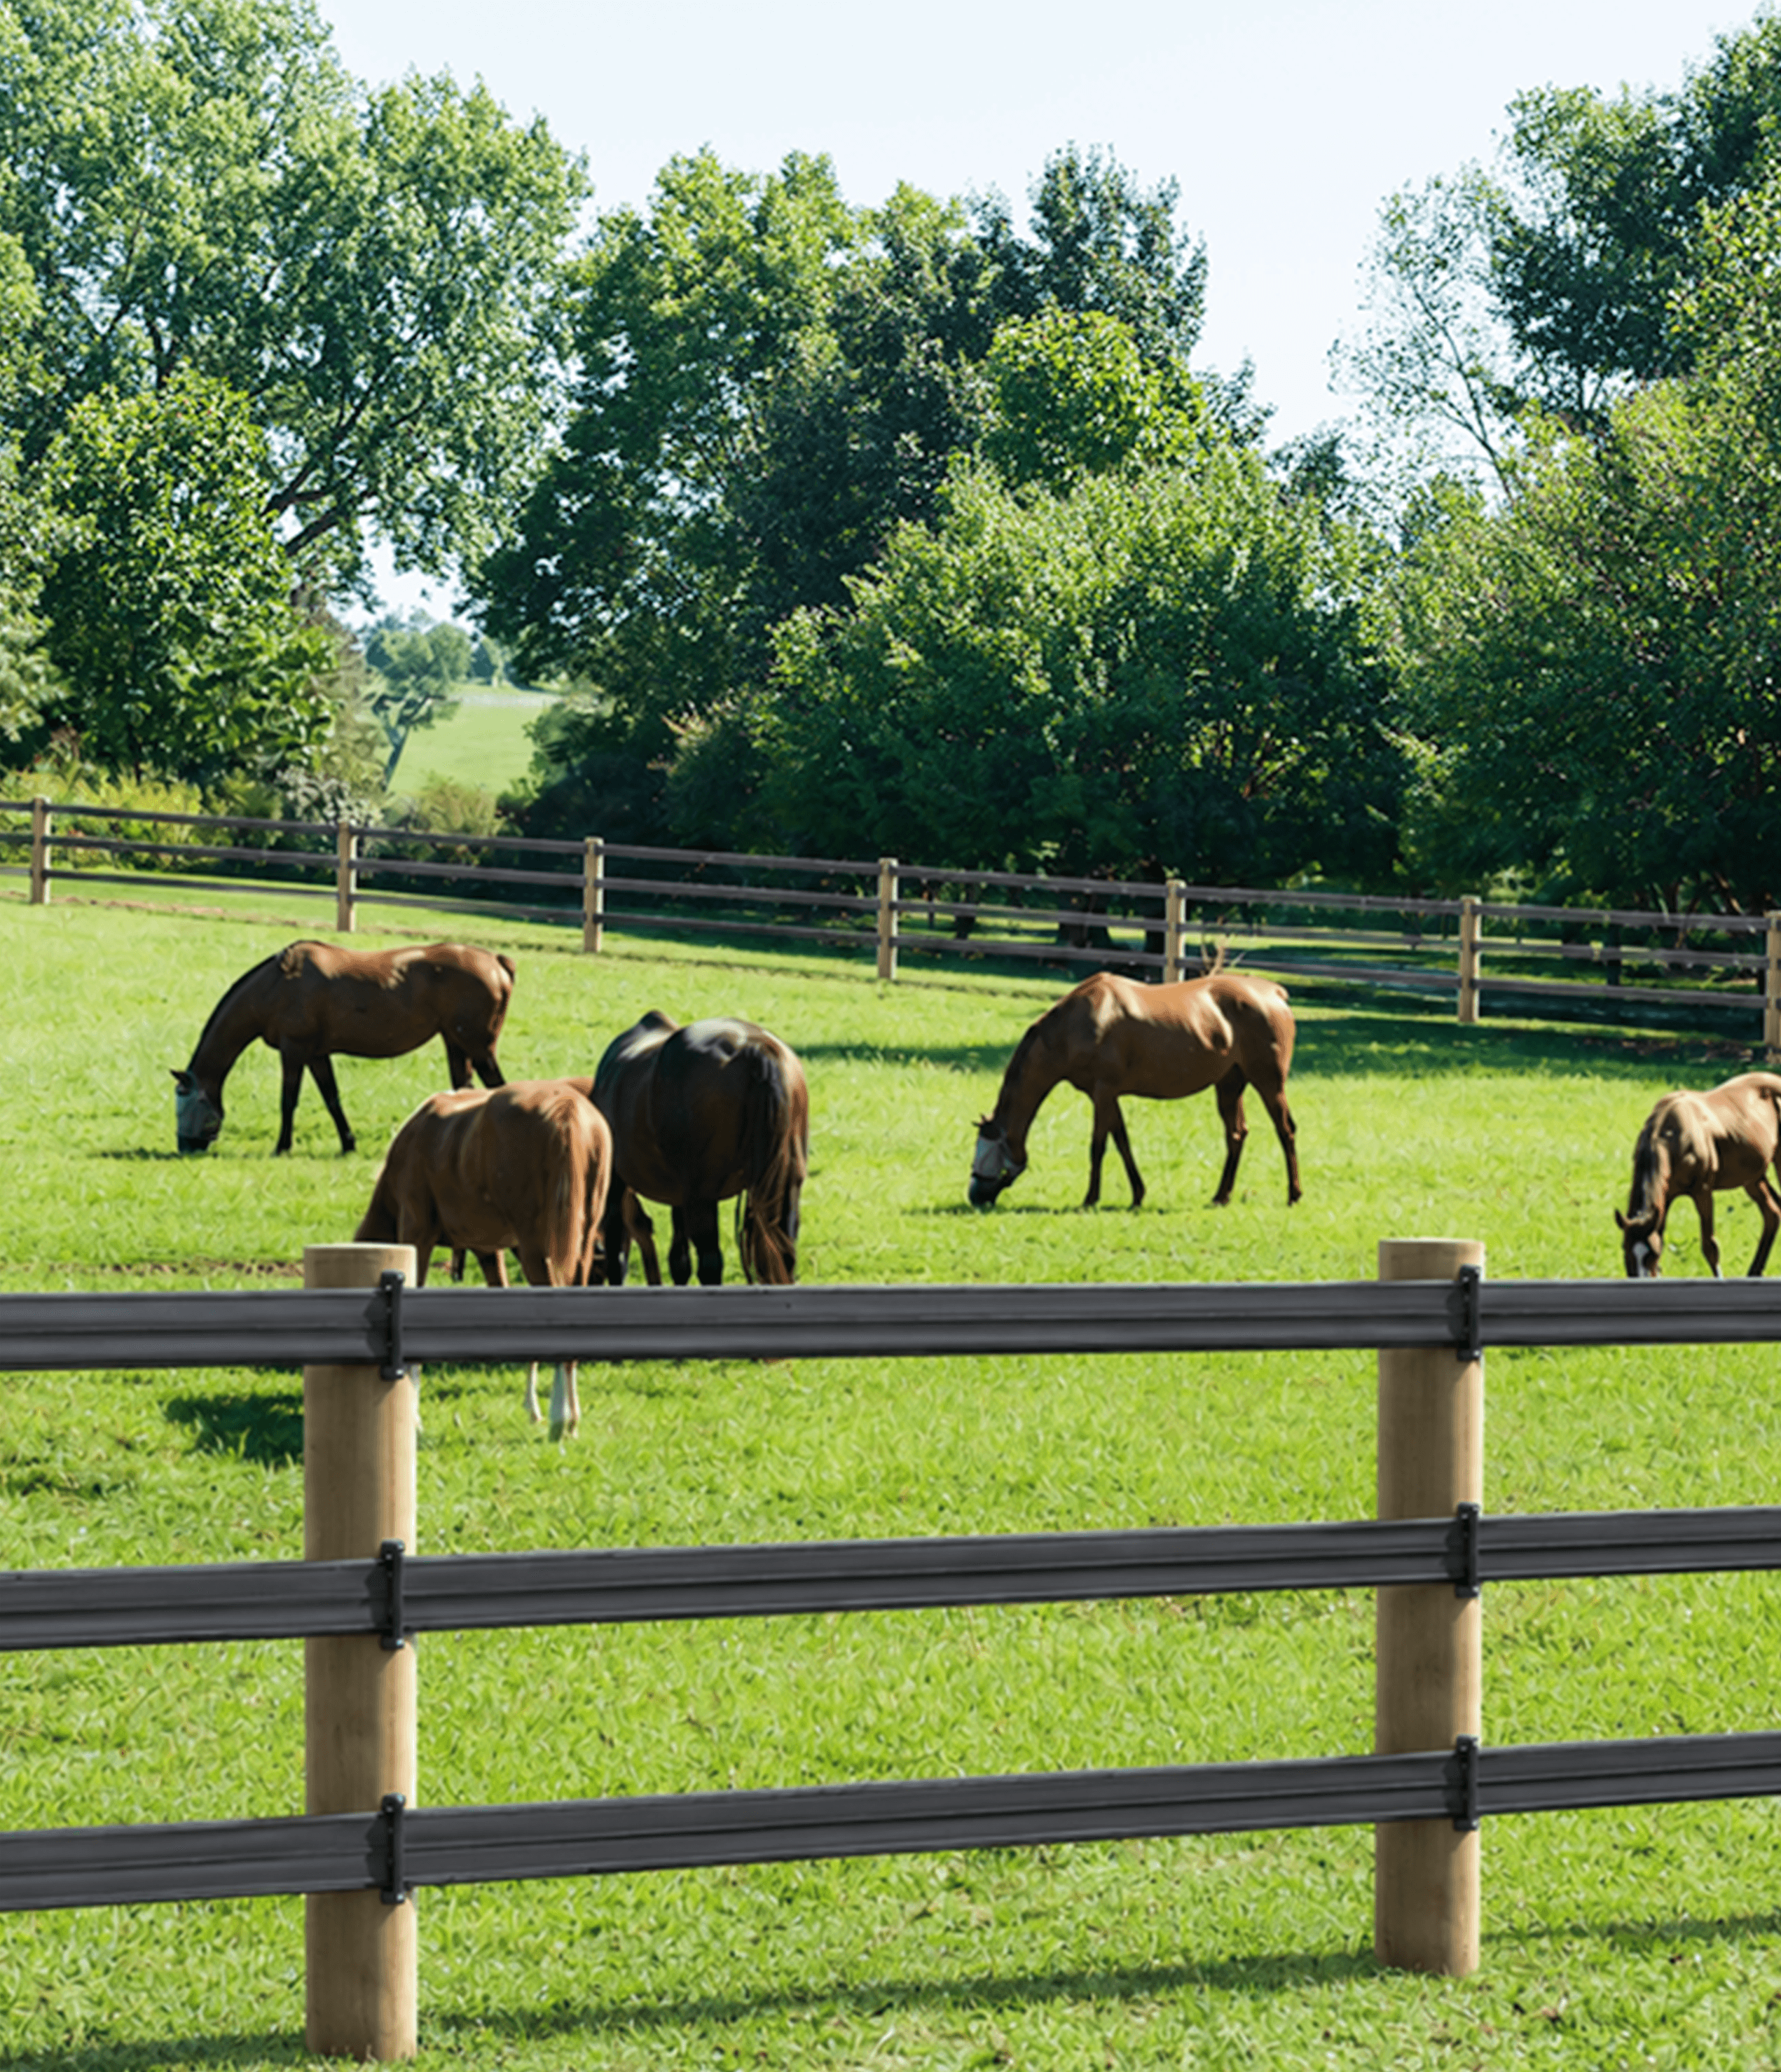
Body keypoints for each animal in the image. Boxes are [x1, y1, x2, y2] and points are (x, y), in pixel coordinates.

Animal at [173, 940, 515, 1157]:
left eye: (184, 1103)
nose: (184, 1148)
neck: (276, 984)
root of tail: (496, 962)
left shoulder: (294, 1050)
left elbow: (288, 1100)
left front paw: (282, 1147)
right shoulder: (316, 1054)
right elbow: (332, 1099)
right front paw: (348, 1143)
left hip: (479, 1048)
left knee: (498, 1088)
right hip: (456, 1044)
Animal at [355, 1078, 611, 1438]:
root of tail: (567, 1109)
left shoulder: (416, 1236)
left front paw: (413, 1418)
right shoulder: (490, 1250)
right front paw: (531, 1406)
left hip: (537, 1250)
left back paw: (561, 1417)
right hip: (580, 1245)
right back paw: (570, 1417)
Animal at [592, 1011, 809, 1286]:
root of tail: (754, 1049)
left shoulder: (616, 1183)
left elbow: (617, 1250)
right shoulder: (678, 1195)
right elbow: (679, 1260)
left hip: (701, 1198)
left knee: (710, 1262)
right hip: (786, 1190)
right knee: (784, 1254)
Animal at [969, 967, 1301, 1210]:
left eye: (985, 1151)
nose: (973, 1196)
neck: (1076, 1025)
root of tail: (1274, 992)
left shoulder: (1103, 1092)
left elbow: (1099, 1146)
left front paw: (1090, 1199)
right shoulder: (1107, 1095)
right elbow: (1122, 1142)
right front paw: (1138, 1195)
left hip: (1270, 1083)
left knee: (1285, 1130)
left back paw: (1293, 1195)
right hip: (1230, 1085)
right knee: (1236, 1134)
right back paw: (1221, 1196)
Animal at [1615, 1072, 1781, 1278]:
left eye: (1651, 1254)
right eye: (1625, 1250)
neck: (1671, 1137)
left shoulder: (1703, 1192)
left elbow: (1710, 1246)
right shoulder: (1666, 1196)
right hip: (1753, 1178)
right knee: (1773, 1213)